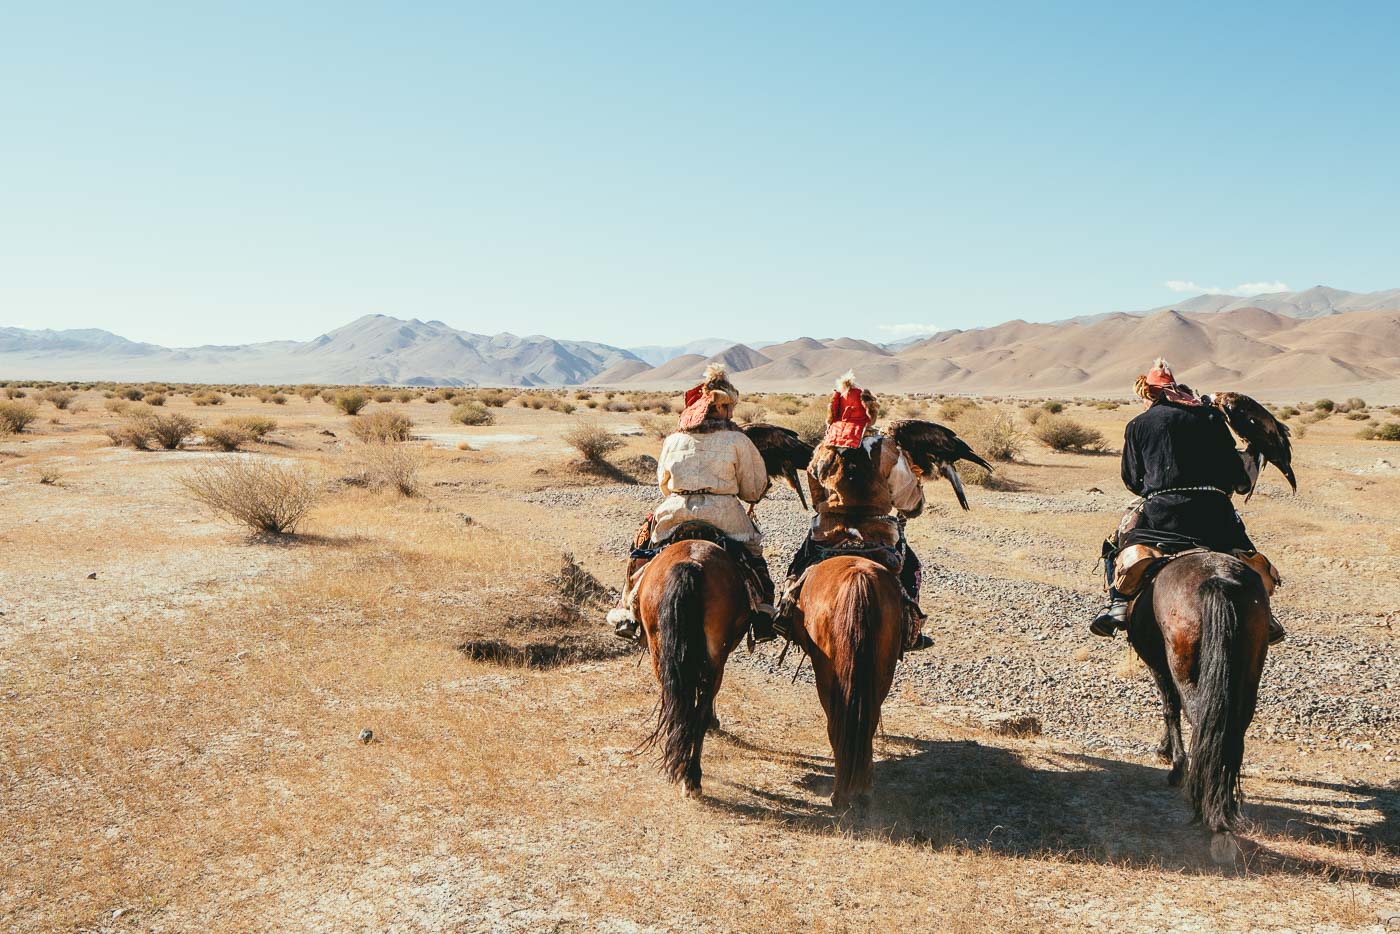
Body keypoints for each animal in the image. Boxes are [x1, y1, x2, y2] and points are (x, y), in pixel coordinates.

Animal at [638, 537, 756, 800]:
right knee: (694, 709)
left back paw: (683, 770)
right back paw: (691, 775)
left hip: (660, 650)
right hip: (714, 659)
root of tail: (691, 564)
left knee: (677, 704)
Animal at [795, 554, 901, 812]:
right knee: (868, 722)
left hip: (826, 675)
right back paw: (862, 791)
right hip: (883, 671)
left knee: (836, 723)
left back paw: (841, 794)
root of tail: (858, 577)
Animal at [1131, 551, 1276, 856]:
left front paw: (1174, 763)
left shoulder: (1157, 663)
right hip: (1250, 669)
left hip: (1183, 664)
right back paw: (1224, 805)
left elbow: (1169, 707)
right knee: (1233, 729)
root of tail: (1218, 580)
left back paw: (1201, 801)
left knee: (1199, 718)